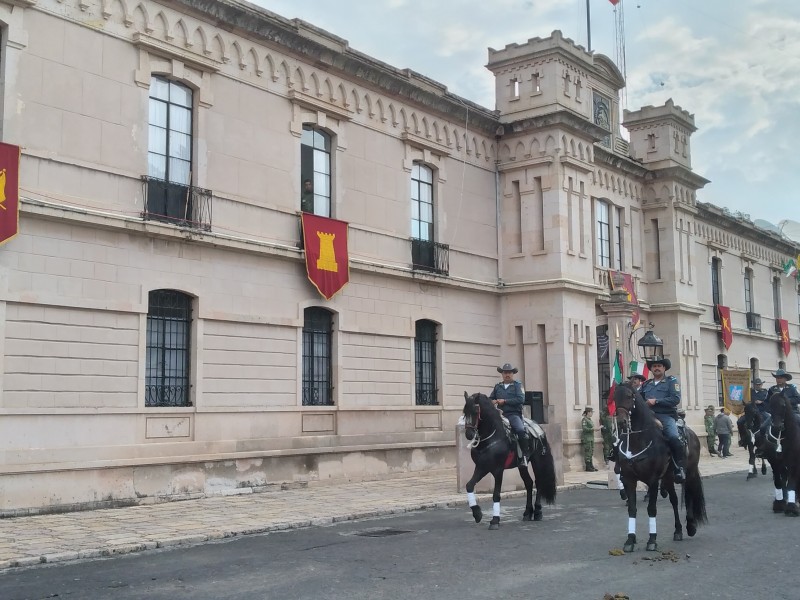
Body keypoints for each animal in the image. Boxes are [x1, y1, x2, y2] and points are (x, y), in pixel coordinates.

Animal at [462, 394, 556, 528]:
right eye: (464, 412)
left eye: (475, 411)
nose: (469, 434)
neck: (491, 437)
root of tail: (539, 428)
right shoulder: (482, 467)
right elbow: (469, 485)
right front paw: (477, 513)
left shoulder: (498, 470)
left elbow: (496, 495)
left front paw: (495, 520)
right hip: (522, 466)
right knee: (529, 483)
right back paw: (527, 513)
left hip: (537, 461)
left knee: (538, 482)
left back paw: (538, 512)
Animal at [612, 382, 708, 552]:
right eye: (615, 398)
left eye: (629, 396)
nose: (621, 422)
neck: (638, 440)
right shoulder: (629, 479)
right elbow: (632, 509)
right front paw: (630, 540)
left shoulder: (653, 480)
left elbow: (651, 508)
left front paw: (652, 540)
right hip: (668, 477)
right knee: (674, 501)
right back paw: (678, 531)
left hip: (689, 473)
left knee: (689, 495)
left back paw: (690, 525)